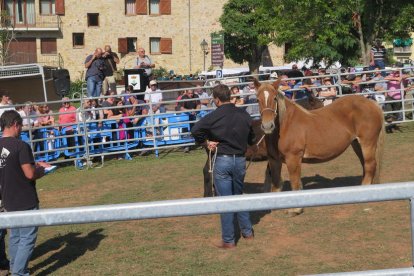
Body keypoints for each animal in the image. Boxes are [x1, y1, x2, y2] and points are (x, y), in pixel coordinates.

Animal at [254, 78, 386, 215]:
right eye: (257, 99)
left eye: (274, 98)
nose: (267, 126)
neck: (286, 125)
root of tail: (372, 104)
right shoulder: (274, 160)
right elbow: (275, 182)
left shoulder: (293, 158)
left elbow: (295, 182)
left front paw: (296, 209)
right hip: (356, 144)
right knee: (365, 165)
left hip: (368, 143)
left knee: (370, 165)